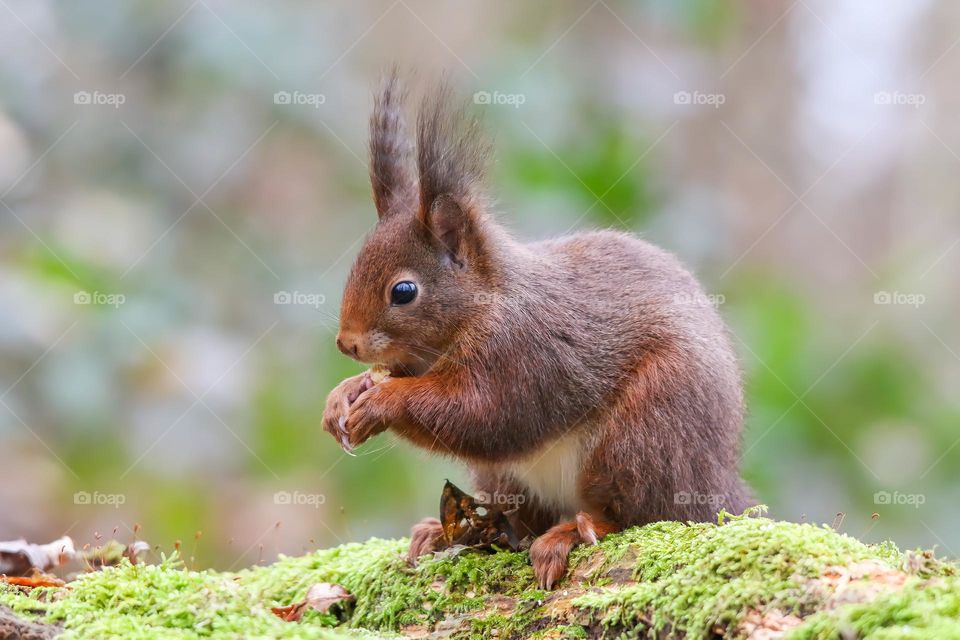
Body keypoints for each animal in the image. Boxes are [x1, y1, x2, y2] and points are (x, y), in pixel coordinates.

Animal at [322, 73, 753, 589]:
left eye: (403, 291)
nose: (346, 344)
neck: (485, 304)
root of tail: (717, 485)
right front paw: (344, 395)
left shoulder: (525, 350)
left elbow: (484, 413)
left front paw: (382, 402)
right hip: (508, 478)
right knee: (519, 516)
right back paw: (447, 532)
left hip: (647, 430)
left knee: (632, 513)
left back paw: (570, 534)